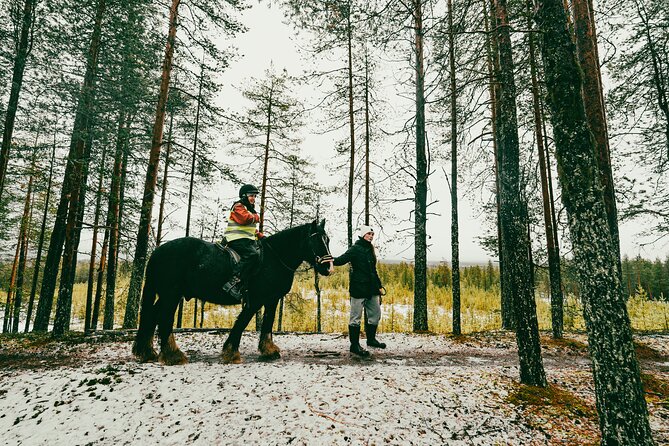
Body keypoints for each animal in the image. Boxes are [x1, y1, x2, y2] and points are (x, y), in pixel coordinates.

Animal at [133, 220, 334, 366]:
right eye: (316, 240)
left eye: (328, 240)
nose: (329, 267)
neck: (274, 258)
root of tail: (157, 252)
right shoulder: (256, 300)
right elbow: (242, 323)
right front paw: (231, 353)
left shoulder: (272, 299)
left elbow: (267, 323)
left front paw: (268, 350)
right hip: (171, 293)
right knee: (164, 318)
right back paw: (173, 355)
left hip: (167, 294)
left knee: (152, 315)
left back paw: (147, 352)